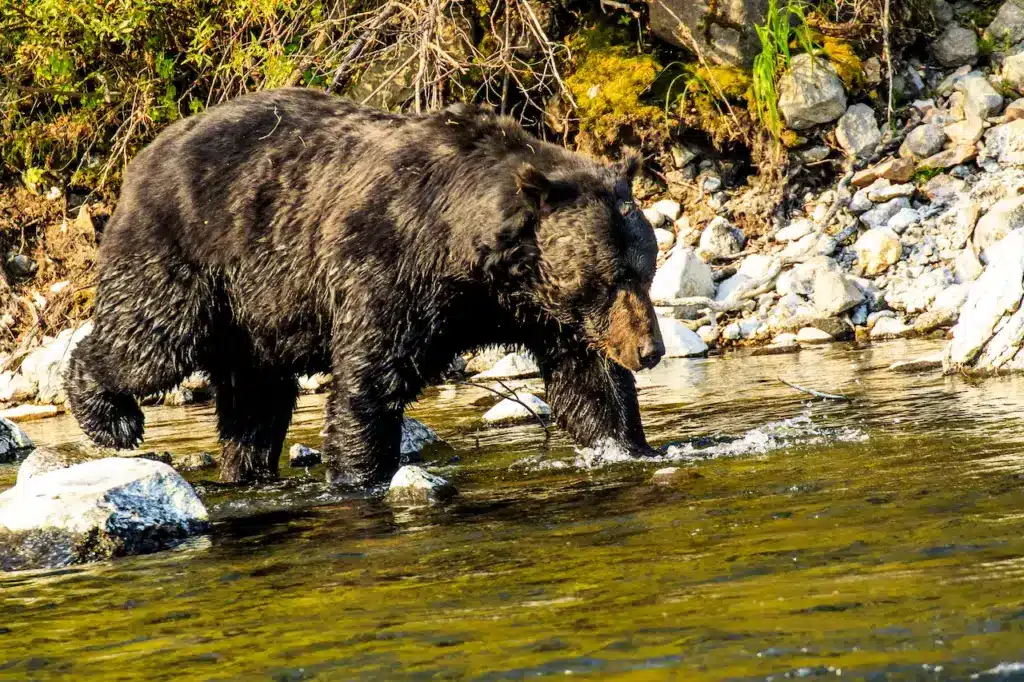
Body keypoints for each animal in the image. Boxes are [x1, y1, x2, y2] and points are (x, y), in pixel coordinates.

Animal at [68, 89, 667, 483]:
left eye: (645, 270)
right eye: (610, 277)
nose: (650, 350)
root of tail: (142, 156)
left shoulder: (542, 313)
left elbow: (588, 383)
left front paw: (626, 446)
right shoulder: (389, 267)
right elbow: (370, 377)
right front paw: (361, 474)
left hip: (257, 316)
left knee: (256, 400)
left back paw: (248, 469)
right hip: (192, 256)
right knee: (152, 343)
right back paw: (112, 417)